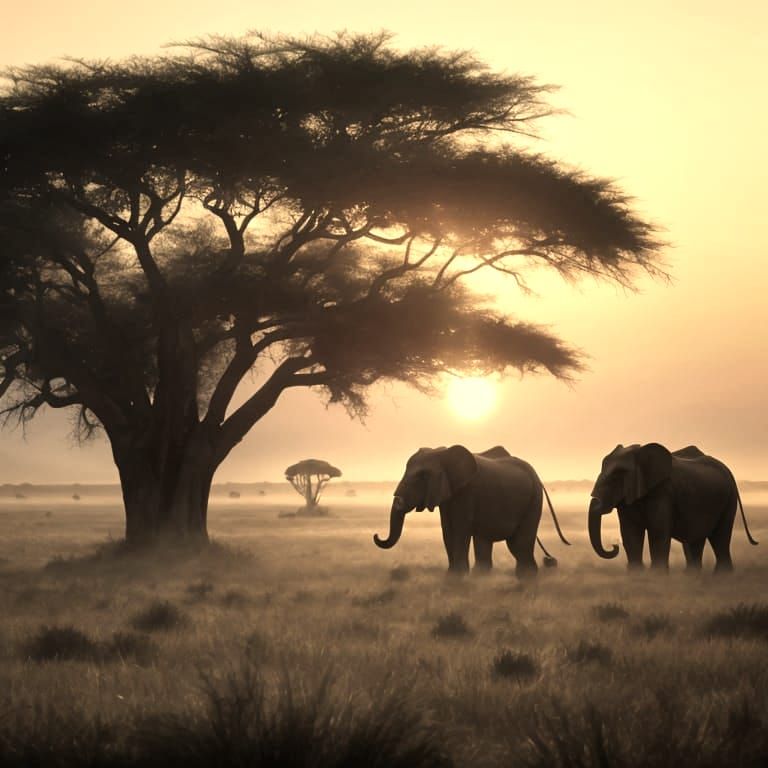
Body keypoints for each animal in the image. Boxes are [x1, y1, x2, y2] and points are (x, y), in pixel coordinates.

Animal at [373, 445, 570, 578]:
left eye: (422, 476)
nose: (376, 535)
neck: (443, 453)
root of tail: (538, 478)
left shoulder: (467, 492)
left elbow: (460, 530)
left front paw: (456, 578)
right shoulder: (449, 495)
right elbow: (448, 530)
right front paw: (452, 577)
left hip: (534, 500)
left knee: (519, 543)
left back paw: (525, 578)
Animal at [588, 443, 758, 572]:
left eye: (617, 476)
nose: (614, 545)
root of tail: (728, 470)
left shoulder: (663, 492)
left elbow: (657, 532)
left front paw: (657, 578)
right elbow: (630, 533)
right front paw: (637, 576)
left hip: (728, 499)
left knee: (720, 537)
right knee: (696, 541)